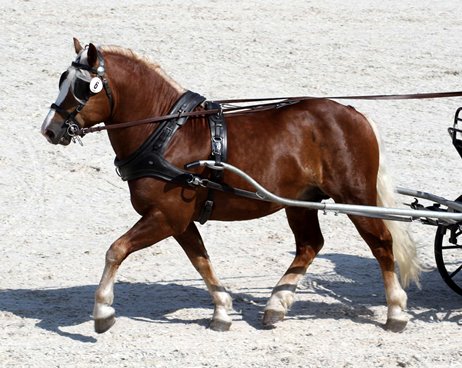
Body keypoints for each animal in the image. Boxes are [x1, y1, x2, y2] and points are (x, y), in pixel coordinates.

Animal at [41, 38, 420, 334]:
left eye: (79, 86)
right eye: (61, 79)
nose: (50, 128)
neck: (166, 134)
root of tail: (353, 112)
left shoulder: (166, 216)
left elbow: (116, 250)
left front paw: (103, 310)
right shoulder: (178, 220)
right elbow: (201, 260)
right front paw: (222, 310)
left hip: (354, 195)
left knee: (381, 244)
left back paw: (396, 310)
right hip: (300, 202)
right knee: (310, 245)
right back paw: (277, 304)